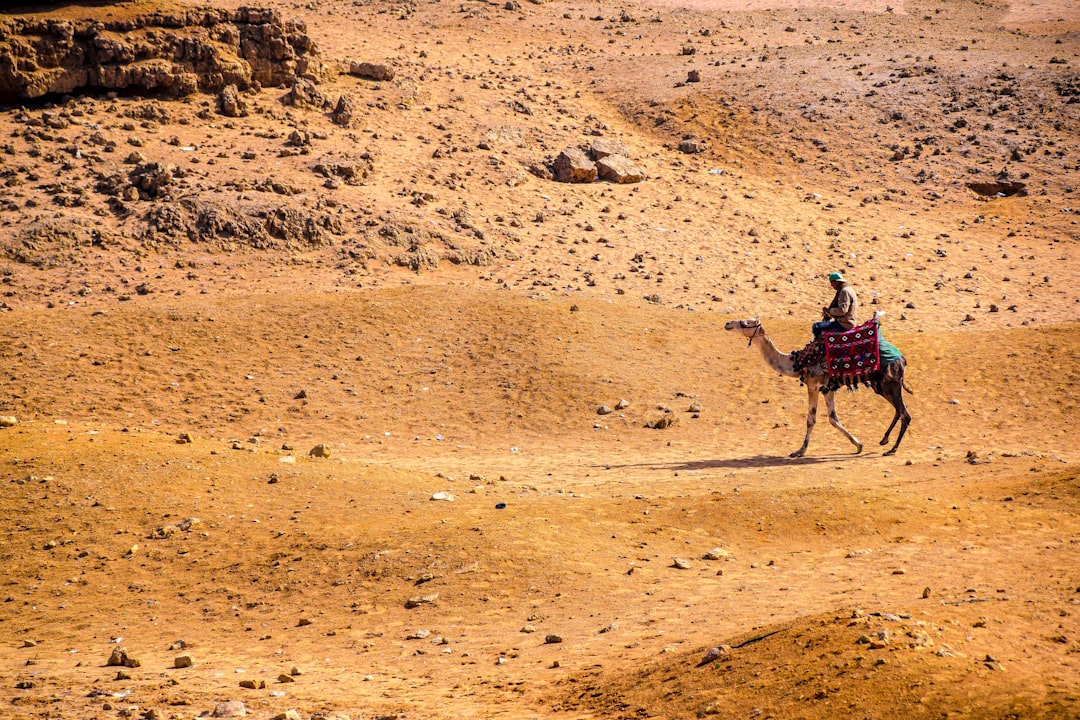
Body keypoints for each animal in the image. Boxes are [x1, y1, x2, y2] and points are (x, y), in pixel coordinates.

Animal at [725, 319, 911, 455]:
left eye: (746, 323)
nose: (728, 324)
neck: (798, 362)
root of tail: (902, 359)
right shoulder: (827, 389)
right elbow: (833, 418)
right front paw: (858, 445)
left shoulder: (813, 386)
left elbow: (811, 419)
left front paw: (799, 451)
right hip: (881, 385)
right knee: (900, 410)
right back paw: (884, 440)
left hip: (890, 383)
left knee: (905, 413)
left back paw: (892, 449)